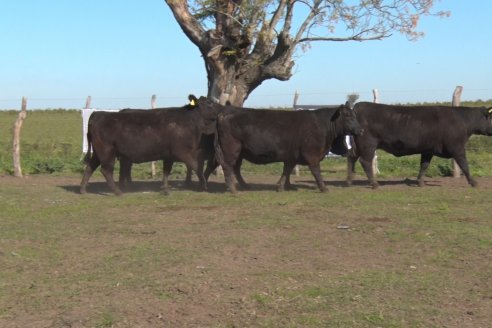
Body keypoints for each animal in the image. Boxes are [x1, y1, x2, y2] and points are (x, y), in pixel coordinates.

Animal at [80, 95, 218, 195]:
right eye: (209, 103)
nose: (220, 109)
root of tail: (97, 114)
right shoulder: (182, 151)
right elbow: (196, 166)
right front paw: (204, 185)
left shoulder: (169, 155)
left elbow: (166, 171)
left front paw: (165, 189)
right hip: (107, 151)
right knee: (106, 170)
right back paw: (118, 191)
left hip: (98, 152)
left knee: (90, 167)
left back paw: (83, 190)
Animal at [214, 103, 362, 192]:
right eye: (347, 116)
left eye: (355, 115)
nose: (361, 130)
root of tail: (226, 111)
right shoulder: (312, 154)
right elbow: (316, 171)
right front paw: (323, 188)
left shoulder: (292, 156)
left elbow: (287, 170)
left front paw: (282, 186)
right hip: (232, 149)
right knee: (227, 166)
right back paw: (233, 189)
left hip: (241, 152)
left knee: (236, 168)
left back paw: (244, 186)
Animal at [346, 102, 492, 190]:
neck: (462, 121)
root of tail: (359, 106)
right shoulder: (457, 148)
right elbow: (465, 165)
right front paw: (473, 182)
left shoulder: (428, 150)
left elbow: (424, 166)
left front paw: (420, 182)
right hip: (368, 145)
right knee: (365, 162)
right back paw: (374, 184)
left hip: (359, 146)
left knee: (351, 158)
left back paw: (349, 181)